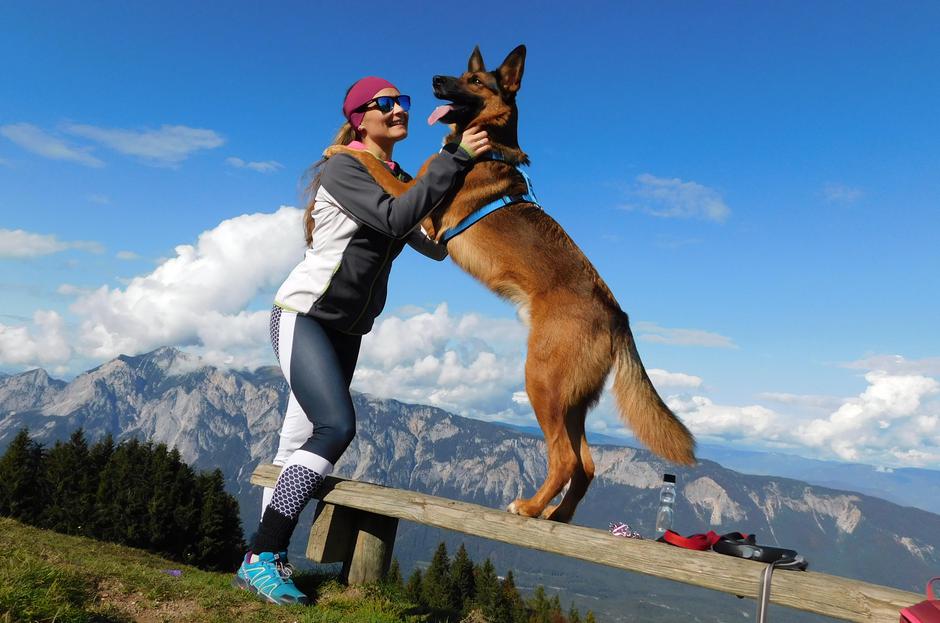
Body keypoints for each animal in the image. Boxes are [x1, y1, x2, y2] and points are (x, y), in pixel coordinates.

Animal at [325, 45, 696, 523]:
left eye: (475, 82)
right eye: (461, 73)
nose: (435, 79)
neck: (485, 146)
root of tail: (617, 313)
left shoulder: (417, 209)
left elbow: (375, 164)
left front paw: (341, 148)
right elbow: (396, 168)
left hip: (541, 382)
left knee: (566, 459)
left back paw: (530, 506)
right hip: (571, 399)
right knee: (587, 466)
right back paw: (554, 515)